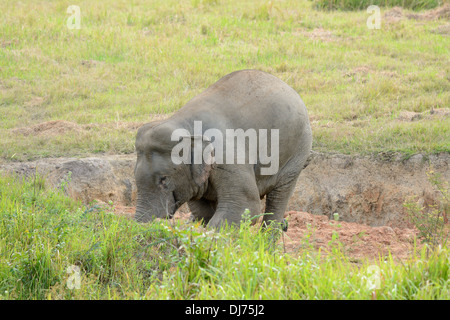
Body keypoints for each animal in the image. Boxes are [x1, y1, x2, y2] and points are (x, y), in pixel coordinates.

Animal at [132, 70, 312, 230]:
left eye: (164, 179)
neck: (186, 126)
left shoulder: (227, 158)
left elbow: (246, 205)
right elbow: (202, 210)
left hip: (296, 153)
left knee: (279, 197)